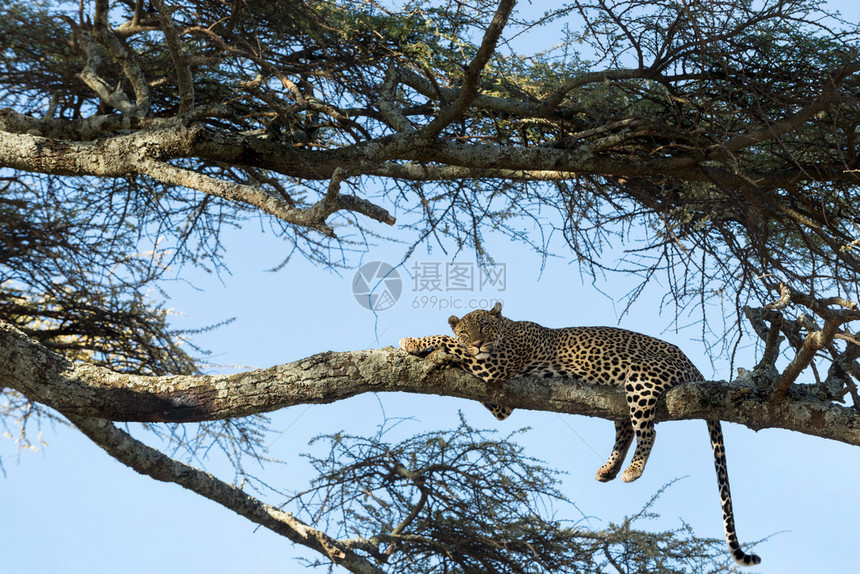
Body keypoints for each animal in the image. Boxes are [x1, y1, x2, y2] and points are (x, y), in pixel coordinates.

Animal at [400, 304, 764, 568]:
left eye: (485, 327)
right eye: (466, 330)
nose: (476, 342)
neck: (509, 330)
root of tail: (695, 367)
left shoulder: (493, 367)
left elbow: (446, 341)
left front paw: (414, 343)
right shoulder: (501, 401)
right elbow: (459, 355)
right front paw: (434, 350)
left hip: (641, 378)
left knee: (648, 430)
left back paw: (632, 470)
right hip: (620, 398)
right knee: (625, 429)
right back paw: (609, 469)